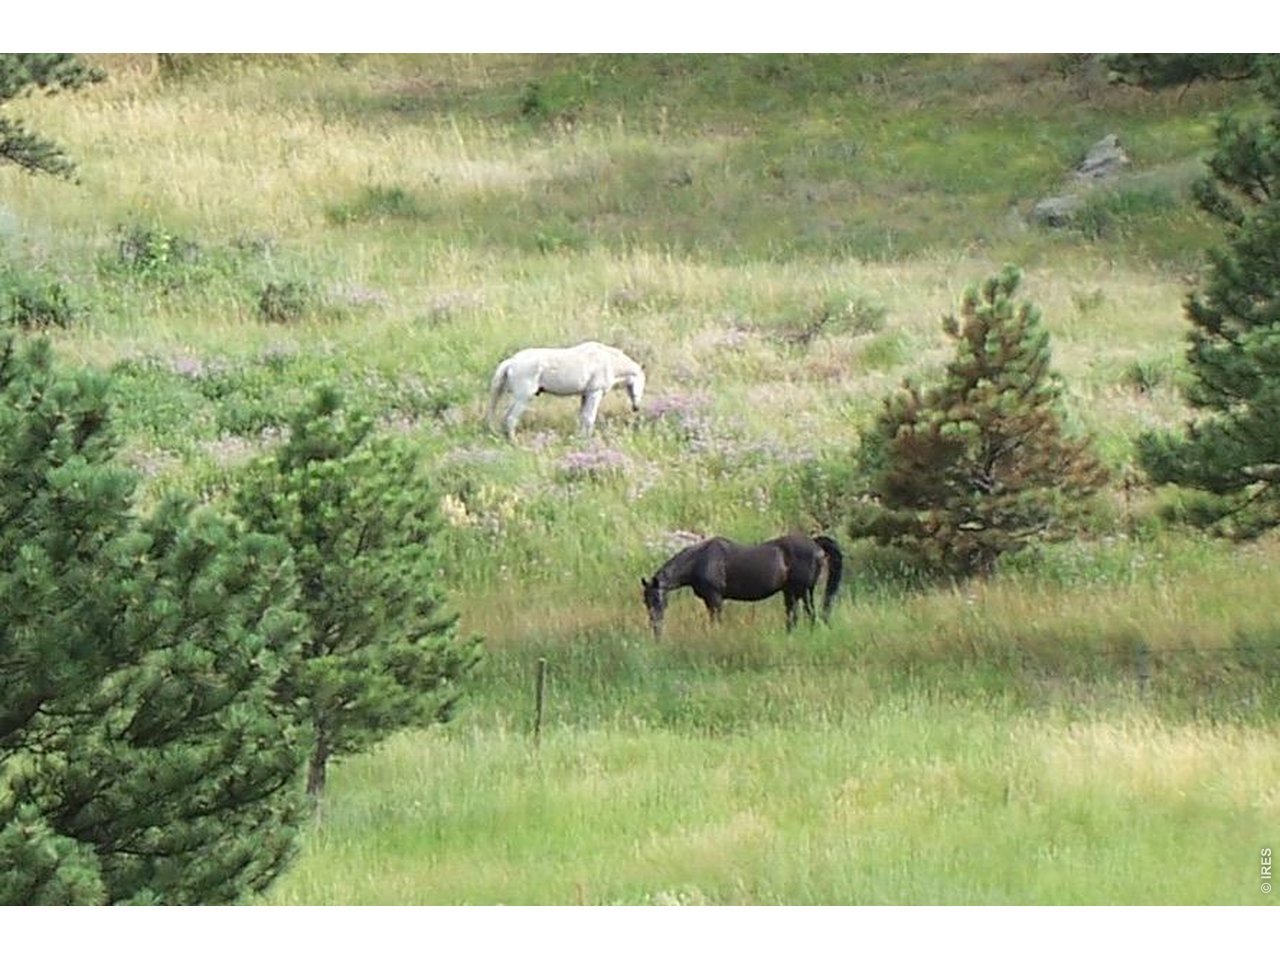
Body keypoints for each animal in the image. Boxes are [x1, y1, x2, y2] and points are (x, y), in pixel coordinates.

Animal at [486, 340, 646, 440]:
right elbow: (590, 418)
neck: (609, 362)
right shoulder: (595, 393)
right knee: (511, 418)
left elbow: (583, 417)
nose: (636, 407)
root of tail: (511, 362)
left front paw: (580, 438)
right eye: (641, 383)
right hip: (523, 398)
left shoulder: (585, 395)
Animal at [641, 533, 844, 639]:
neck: (700, 560)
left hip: (803, 591)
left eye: (657, 598)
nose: (656, 629)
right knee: (793, 617)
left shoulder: (715, 599)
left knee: (811, 614)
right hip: (791, 592)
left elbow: (716, 621)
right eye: (645, 601)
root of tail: (815, 544)